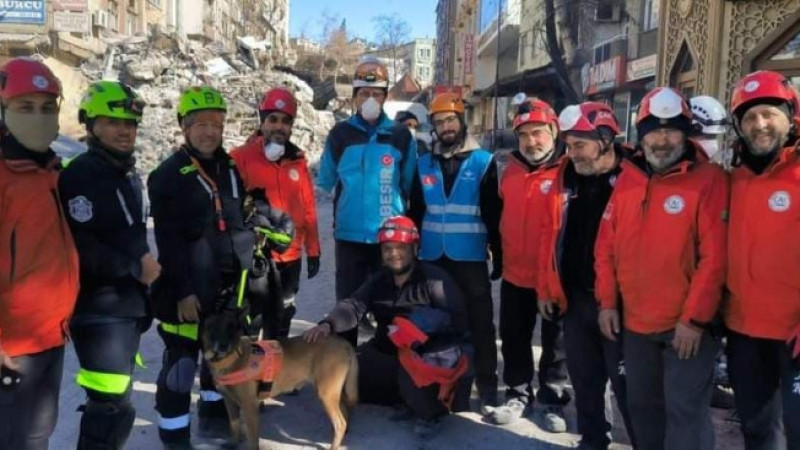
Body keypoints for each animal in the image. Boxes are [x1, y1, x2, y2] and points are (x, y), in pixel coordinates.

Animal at [202, 310, 358, 450]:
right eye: (211, 327)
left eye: (231, 327)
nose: (223, 346)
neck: (232, 358)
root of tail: (343, 342)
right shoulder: (229, 401)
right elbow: (233, 425)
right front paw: (233, 443)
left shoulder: (250, 407)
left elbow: (253, 440)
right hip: (335, 392)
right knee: (344, 413)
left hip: (325, 393)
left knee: (340, 423)